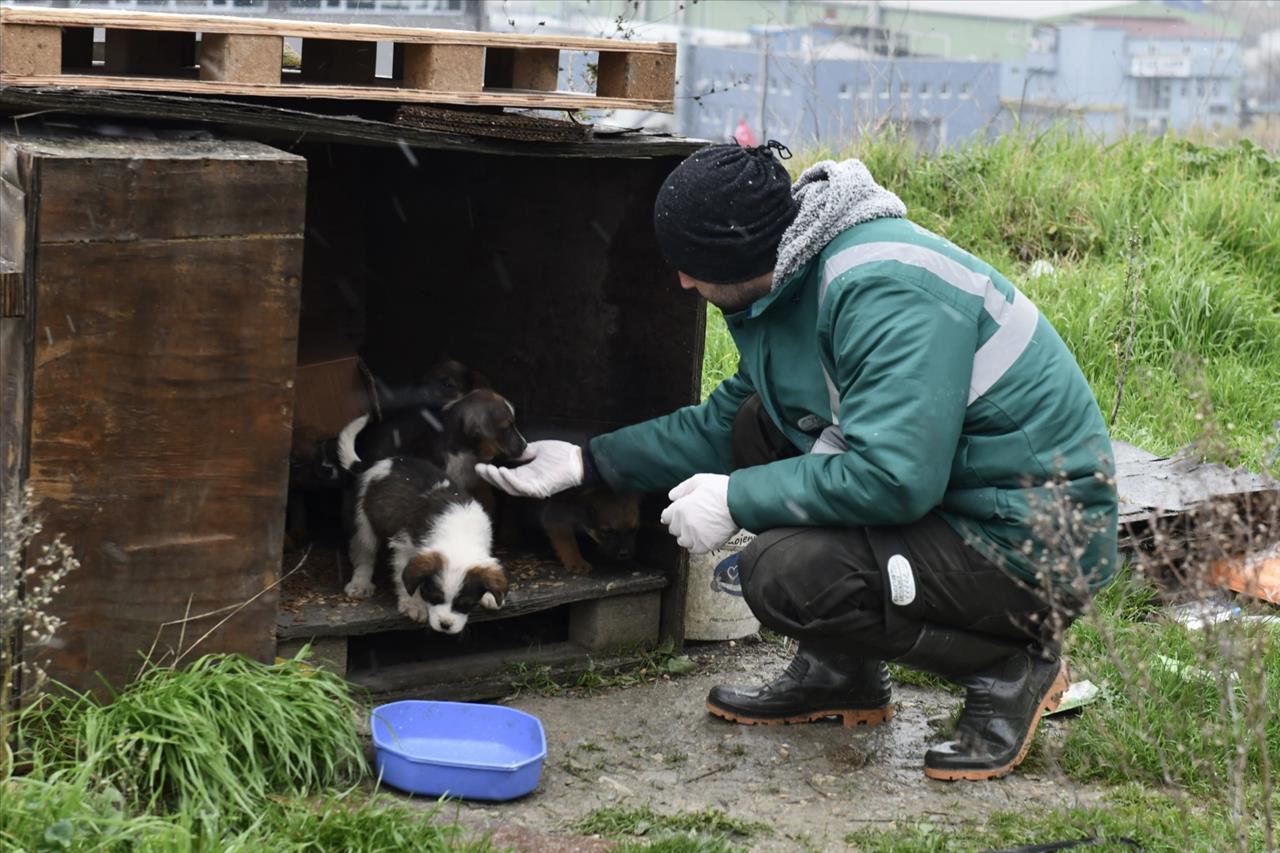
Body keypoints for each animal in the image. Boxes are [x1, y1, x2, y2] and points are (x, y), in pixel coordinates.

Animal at [337, 412, 506, 630]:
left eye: (465, 604)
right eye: (434, 596)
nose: (445, 625)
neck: (458, 532)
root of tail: (375, 464)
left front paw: (490, 597)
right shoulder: (405, 547)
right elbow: (406, 580)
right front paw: (414, 605)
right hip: (363, 525)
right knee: (364, 555)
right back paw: (360, 584)